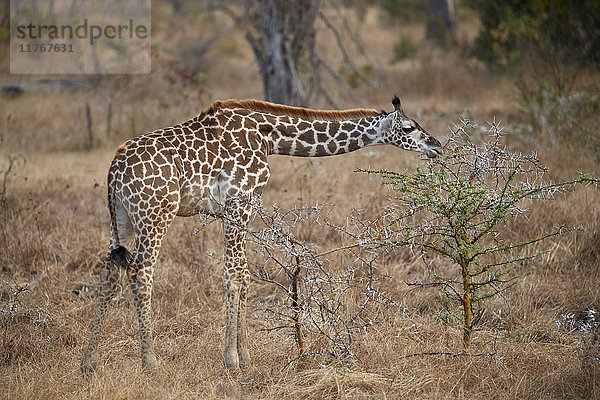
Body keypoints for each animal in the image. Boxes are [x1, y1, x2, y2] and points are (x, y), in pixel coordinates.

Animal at [82, 96, 442, 372]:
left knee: (108, 272)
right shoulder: (238, 202)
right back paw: (150, 362)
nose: (436, 145)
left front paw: (246, 355)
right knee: (141, 272)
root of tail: (114, 167)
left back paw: (89, 361)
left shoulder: (241, 207)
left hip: (122, 218)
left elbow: (244, 274)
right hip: (156, 213)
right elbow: (233, 275)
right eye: (409, 128)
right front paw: (231, 359)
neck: (270, 136)